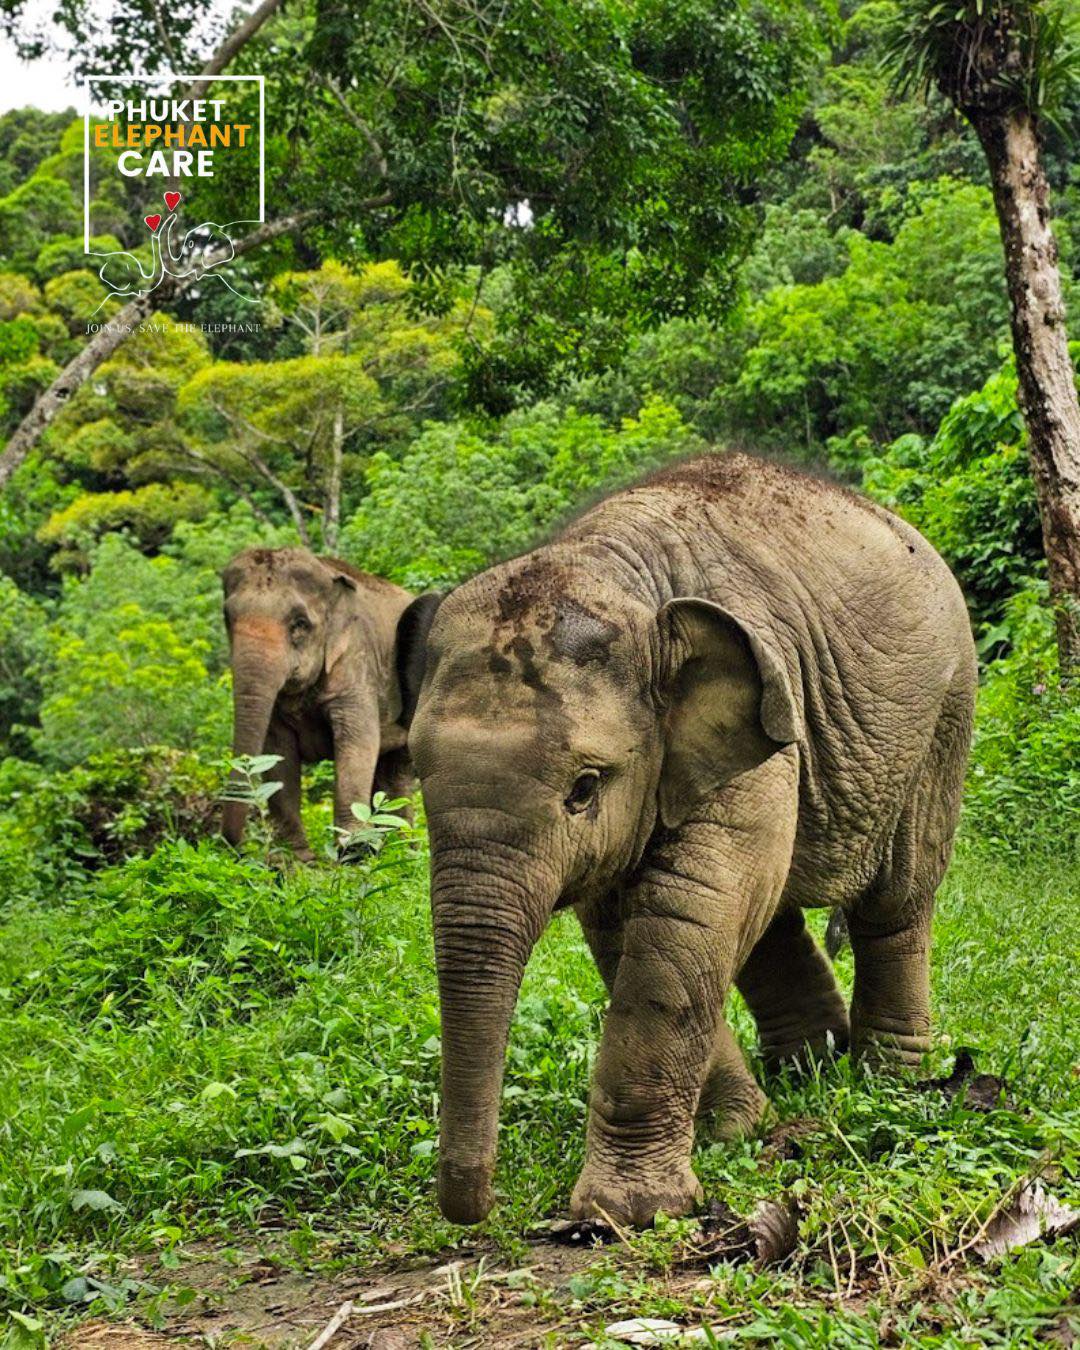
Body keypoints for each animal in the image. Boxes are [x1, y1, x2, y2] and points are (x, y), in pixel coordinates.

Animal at [221, 547, 419, 861]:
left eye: (300, 624)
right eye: (227, 618)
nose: (234, 847)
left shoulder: (356, 664)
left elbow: (358, 741)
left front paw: (354, 853)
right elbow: (278, 753)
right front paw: (298, 862)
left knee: (398, 770)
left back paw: (402, 855)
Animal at [395, 451, 977, 1229]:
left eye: (584, 787)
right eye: (419, 778)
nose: (479, 1205)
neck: (613, 571)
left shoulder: (764, 729)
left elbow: (683, 917)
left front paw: (629, 1213)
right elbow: (632, 930)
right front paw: (738, 1128)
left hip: (944, 711)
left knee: (897, 897)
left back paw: (887, 1083)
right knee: (768, 915)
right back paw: (808, 1068)